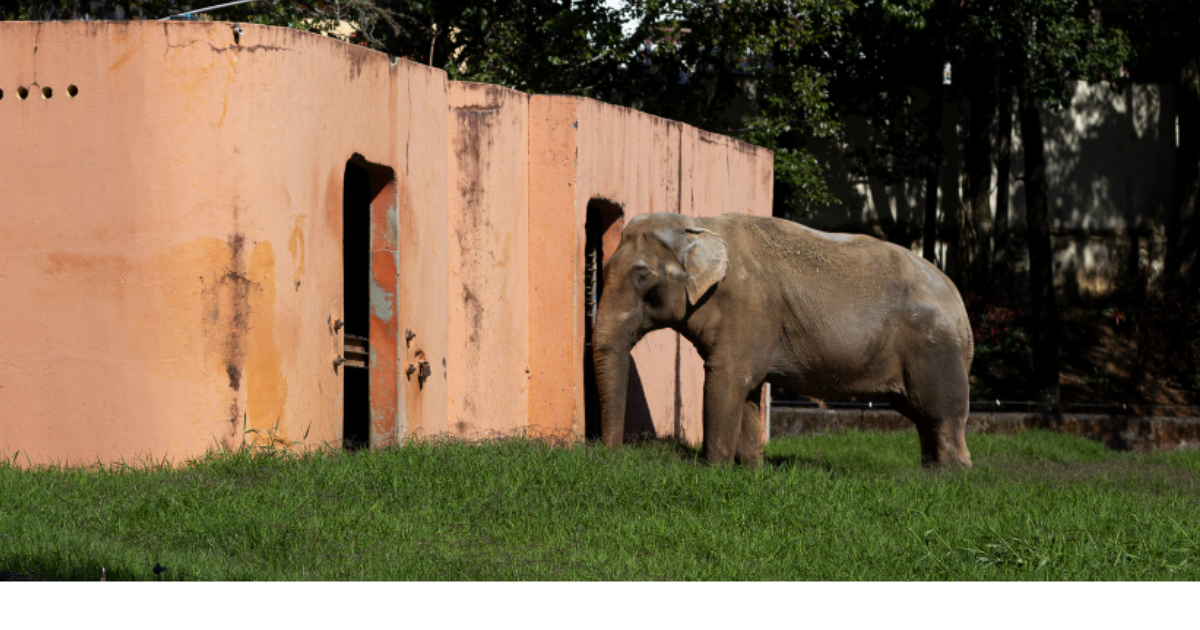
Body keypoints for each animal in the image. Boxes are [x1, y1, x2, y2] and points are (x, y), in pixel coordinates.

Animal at [592, 211, 974, 468]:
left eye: (642, 275)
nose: (611, 457)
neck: (700, 224)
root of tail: (960, 303)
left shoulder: (749, 307)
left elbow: (727, 376)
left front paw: (711, 470)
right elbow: (747, 388)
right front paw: (750, 473)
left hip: (936, 350)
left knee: (940, 414)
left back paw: (951, 478)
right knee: (922, 417)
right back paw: (927, 474)